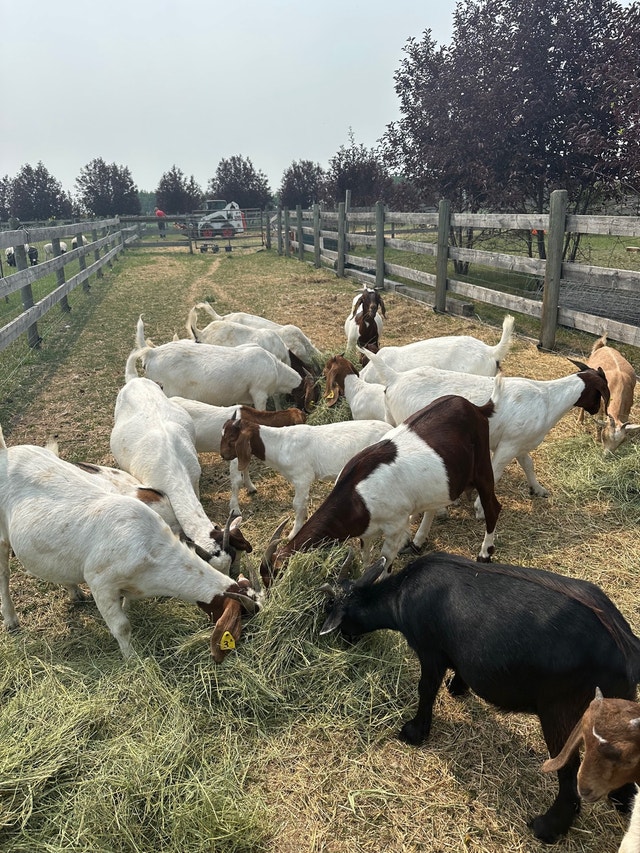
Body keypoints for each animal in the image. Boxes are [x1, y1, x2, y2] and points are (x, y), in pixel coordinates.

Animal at [0, 426, 256, 659]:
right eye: (242, 618)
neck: (151, 549)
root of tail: (5, 453)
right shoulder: (100, 583)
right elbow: (122, 626)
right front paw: (131, 659)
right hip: (2, 537)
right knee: (4, 575)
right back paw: (11, 620)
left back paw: (74, 592)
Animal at [220, 416, 392, 538]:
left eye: (231, 439)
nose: (223, 455)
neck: (278, 444)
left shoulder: (303, 478)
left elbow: (297, 504)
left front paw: (293, 533)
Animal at [261, 386, 503, 583]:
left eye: (275, 578)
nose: (261, 606)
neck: (357, 497)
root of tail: (476, 408)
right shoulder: (366, 532)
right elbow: (366, 556)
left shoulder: (394, 527)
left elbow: (384, 562)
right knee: (433, 506)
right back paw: (418, 541)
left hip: (482, 466)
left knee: (493, 506)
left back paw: (484, 554)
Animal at [319, 550, 640, 843]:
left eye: (328, 606)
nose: (343, 642)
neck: (400, 594)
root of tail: (627, 649)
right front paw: (458, 688)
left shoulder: (430, 651)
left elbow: (426, 689)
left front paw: (414, 732)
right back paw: (623, 801)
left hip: (561, 711)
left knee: (568, 770)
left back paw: (548, 827)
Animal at [364, 349, 610, 518]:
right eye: (600, 394)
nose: (597, 411)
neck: (548, 399)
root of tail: (395, 377)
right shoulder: (508, 445)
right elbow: (496, 472)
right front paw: (480, 509)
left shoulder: (520, 443)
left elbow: (528, 465)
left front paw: (538, 489)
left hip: (390, 420)